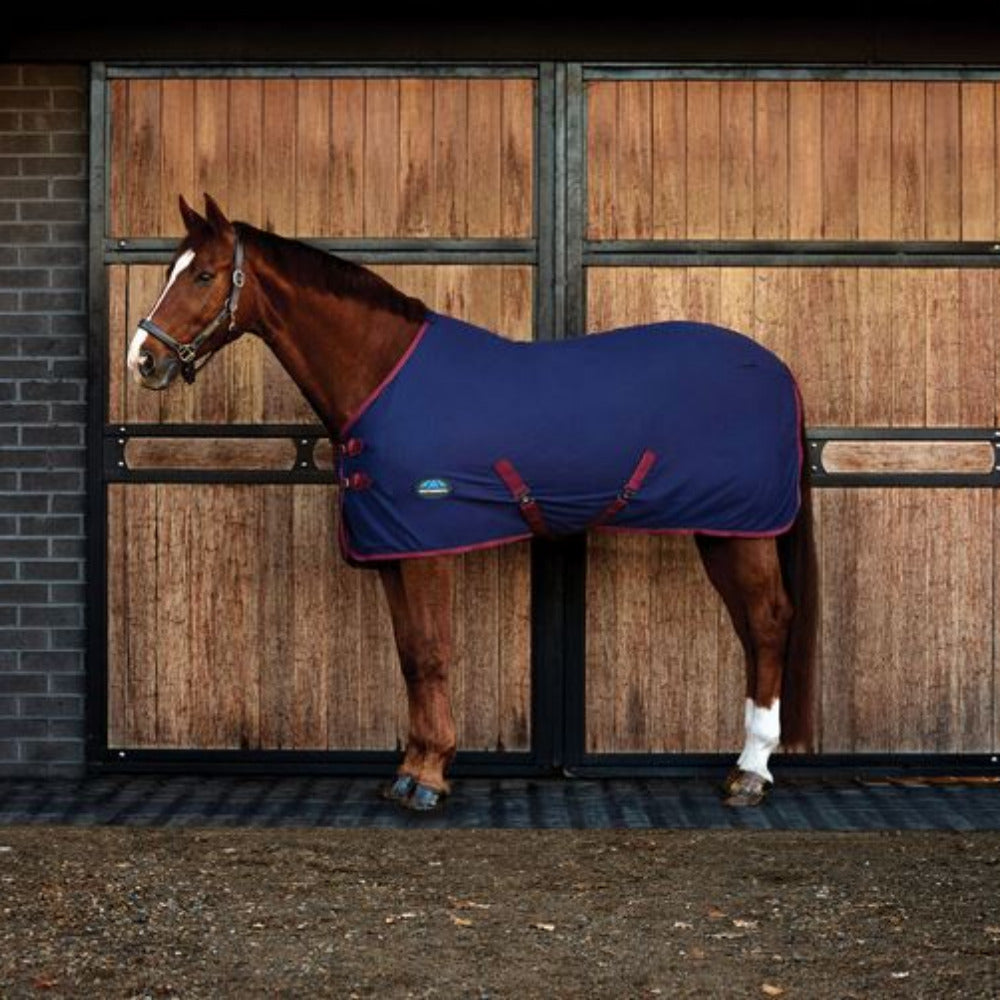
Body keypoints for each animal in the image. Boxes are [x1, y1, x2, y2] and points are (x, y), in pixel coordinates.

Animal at [127, 194, 817, 811]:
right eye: (168, 271)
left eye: (205, 274)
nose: (143, 359)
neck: (381, 373)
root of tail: (780, 370)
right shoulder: (393, 550)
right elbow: (410, 657)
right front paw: (411, 769)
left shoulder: (425, 544)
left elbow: (432, 652)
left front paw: (429, 778)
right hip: (723, 531)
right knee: (751, 628)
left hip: (743, 529)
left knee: (768, 622)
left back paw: (752, 770)